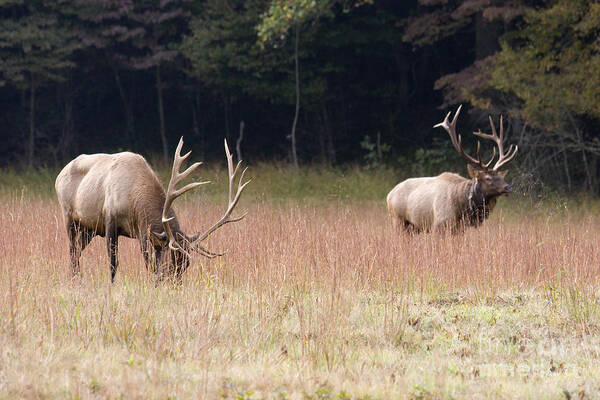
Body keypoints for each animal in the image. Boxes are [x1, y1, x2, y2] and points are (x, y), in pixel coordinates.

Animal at [53, 138, 246, 282]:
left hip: (89, 229)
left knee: (77, 251)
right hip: (69, 216)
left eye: (186, 265)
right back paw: (74, 279)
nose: (174, 287)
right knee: (72, 251)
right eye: (171, 263)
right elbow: (114, 263)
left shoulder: (142, 231)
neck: (134, 201)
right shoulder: (110, 220)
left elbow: (148, 261)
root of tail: (59, 174)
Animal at [386, 104, 516, 233]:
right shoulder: (439, 225)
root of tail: (389, 195)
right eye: (488, 178)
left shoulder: (460, 229)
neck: (462, 208)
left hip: (413, 228)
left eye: (501, 176)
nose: (508, 187)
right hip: (398, 221)